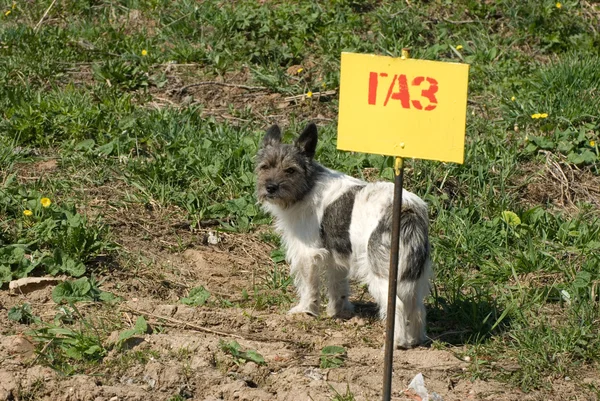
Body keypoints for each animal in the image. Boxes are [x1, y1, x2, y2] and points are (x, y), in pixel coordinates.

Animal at [253, 122, 432, 346]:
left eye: (290, 170)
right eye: (264, 167)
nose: (270, 187)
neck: (307, 186)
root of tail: (408, 210)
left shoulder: (308, 255)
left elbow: (309, 287)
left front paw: (305, 311)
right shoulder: (336, 257)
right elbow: (338, 287)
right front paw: (338, 312)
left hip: (383, 272)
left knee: (398, 306)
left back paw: (396, 342)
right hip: (414, 274)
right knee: (418, 306)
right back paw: (416, 339)